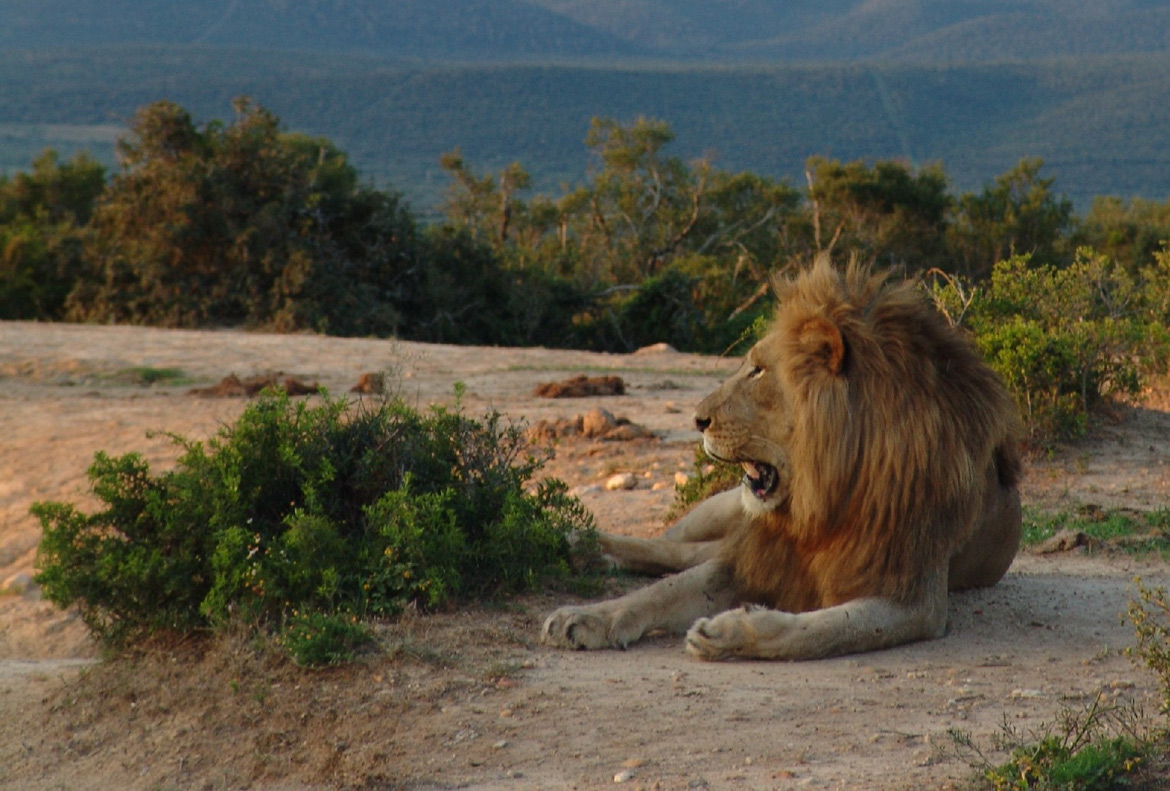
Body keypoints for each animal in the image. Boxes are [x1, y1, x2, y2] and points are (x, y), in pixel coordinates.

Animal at [542, 256, 1020, 659]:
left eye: (758, 371)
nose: (697, 420)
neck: (825, 501)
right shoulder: (757, 552)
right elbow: (664, 590)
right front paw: (587, 617)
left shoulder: (914, 597)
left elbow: (824, 631)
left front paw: (726, 632)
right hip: (722, 507)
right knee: (672, 545)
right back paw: (585, 545)